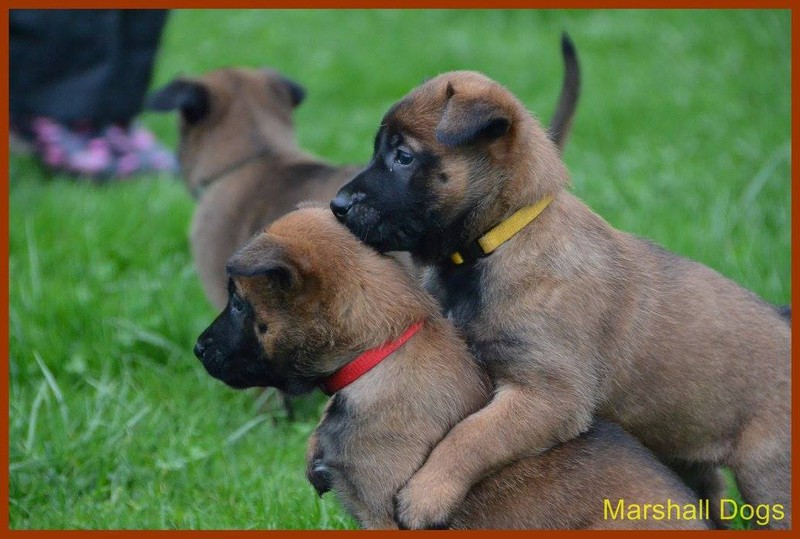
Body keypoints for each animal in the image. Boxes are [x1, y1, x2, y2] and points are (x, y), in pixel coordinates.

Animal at [330, 70, 791, 529]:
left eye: (403, 156)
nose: (336, 205)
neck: (501, 238)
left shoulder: (547, 397)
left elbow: (472, 435)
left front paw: (427, 494)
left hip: (770, 479)